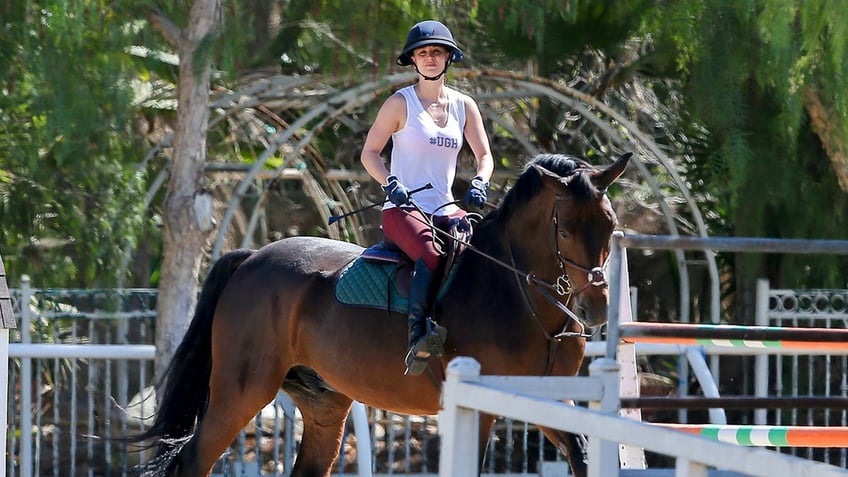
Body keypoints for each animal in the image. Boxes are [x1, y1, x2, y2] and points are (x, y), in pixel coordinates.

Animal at [131, 152, 628, 472]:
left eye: (610, 225)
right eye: (565, 230)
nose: (596, 306)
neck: (518, 291)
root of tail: (253, 257)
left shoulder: (550, 399)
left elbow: (581, 453)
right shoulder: (480, 406)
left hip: (324, 405)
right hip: (242, 391)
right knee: (194, 459)